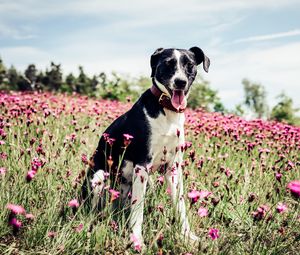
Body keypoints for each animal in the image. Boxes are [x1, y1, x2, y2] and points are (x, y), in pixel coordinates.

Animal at [81, 46, 210, 247]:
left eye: (189, 65)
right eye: (168, 64)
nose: (180, 82)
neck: (167, 111)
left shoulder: (173, 168)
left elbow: (180, 205)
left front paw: (187, 236)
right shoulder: (142, 164)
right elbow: (138, 210)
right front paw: (137, 240)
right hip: (99, 178)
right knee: (93, 210)